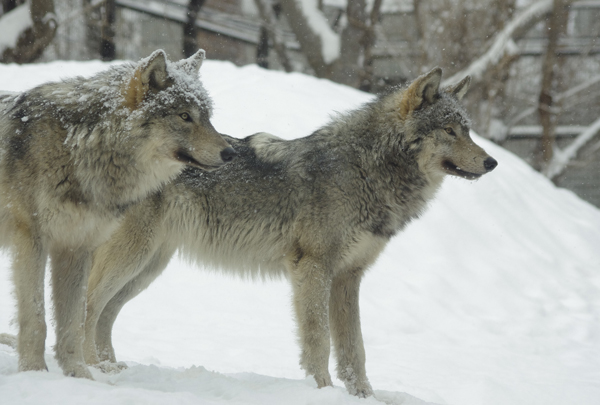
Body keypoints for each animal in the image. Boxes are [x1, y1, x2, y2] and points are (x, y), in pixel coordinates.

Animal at [0, 49, 234, 378]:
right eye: (184, 116)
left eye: (207, 117)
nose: (231, 153)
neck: (77, 144)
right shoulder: (31, 240)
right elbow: (36, 317)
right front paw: (34, 372)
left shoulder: (75, 246)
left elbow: (73, 321)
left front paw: (80, 377)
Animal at [83, 68, 496, 396]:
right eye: (449, 130)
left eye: (468, 131)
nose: (492, 162)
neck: (367, 170)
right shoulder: (313, 268)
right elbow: (319, 340)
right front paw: (322, 391)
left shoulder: (348, 277)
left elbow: (355, 350)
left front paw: (363, 396)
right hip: (132, 257)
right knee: (89, 303)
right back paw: (88, 368)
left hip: (147, 268)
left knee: (105, 314)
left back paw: (107, 367)